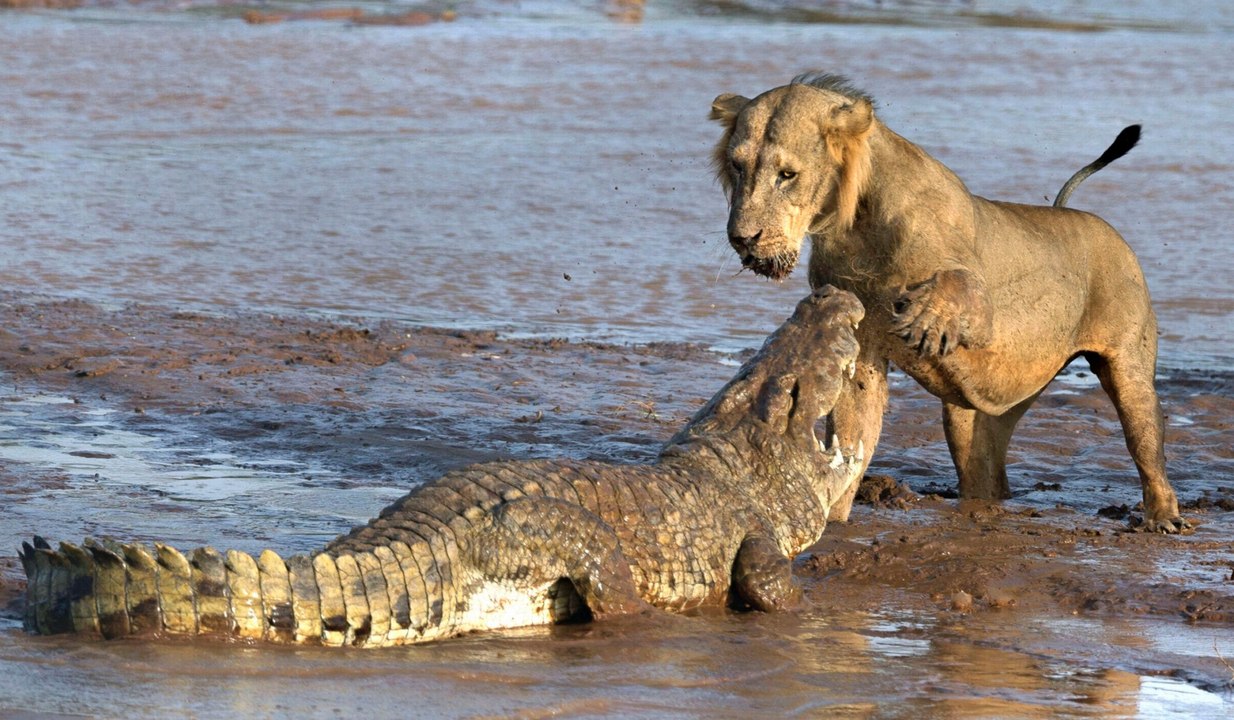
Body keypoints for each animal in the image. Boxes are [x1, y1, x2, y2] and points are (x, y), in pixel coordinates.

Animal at [709, 72, 1187, 533]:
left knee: (1144, 438)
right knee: (984, 469)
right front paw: (832, 520)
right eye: (737, 166)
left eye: (787, 175)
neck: (855, 225)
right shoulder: (860, 344)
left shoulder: (985, 309)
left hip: (1128, 369)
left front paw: (924, 318)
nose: (742, 238)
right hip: (978, 417)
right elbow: (852, 432)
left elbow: (958, 284)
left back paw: (1163, 517)